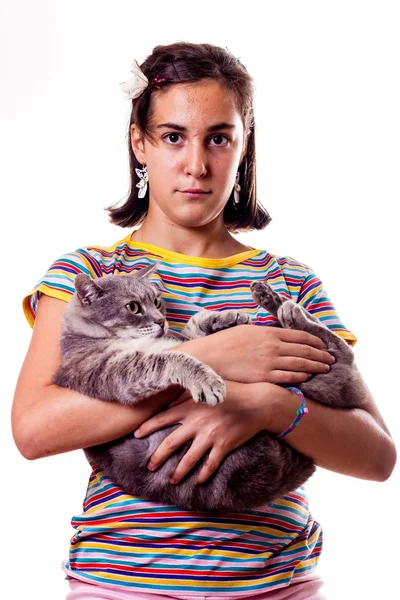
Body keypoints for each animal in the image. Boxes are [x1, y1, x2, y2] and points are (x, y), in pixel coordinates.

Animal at [54, 264, 366, 512]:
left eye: (156, 301)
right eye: (133, 307)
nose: (160, 320)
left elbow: (192, 327)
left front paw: (226, 317)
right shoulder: (111, 369)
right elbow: (169, 358)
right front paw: (208, 379)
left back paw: (270, 297)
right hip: (325, 380)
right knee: (340, 352)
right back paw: (289, 310)